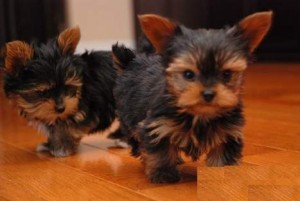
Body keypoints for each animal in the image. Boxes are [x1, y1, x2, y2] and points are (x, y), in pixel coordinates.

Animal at [2, 26, 119, 157]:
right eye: (43, 92)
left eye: (67, 88)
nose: (61, 108)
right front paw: (50, 145)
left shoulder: (83, 110)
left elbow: (65, 127)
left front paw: (63, 148)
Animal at [112, 11, 272, 183]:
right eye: (188, 74)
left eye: (227, 74)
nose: (208, 94)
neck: (200, 114)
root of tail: (133, 62)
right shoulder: (157, 126)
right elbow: (159, 151)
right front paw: (163, 174)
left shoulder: (228, 132)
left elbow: (222, 155)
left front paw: (222, 174)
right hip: (128, 117)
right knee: (137, 141)